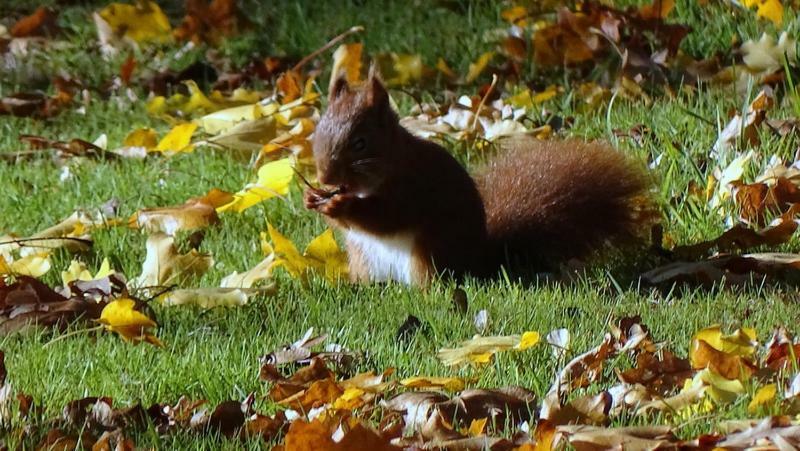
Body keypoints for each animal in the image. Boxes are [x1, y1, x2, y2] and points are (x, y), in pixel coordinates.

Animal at [304, 73, 652, 286]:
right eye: (318, 130)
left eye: (360, 142)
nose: (324, 175)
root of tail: (479, 259)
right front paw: (313, 198)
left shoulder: (412, 188)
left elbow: (386, 216)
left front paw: (339, 205)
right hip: (363, 259)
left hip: (428, 253)